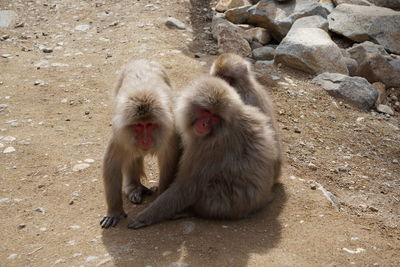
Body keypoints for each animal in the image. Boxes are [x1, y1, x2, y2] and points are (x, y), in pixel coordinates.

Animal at [100, 59, 181, 229]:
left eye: (149, 125)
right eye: (138, 125)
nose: (145, 140)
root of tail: (142, 60)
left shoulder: (169, 134)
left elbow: (168, 161)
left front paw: (161, 197)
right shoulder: (120, 136)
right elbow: (112, 165)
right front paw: (114, 212)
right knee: (132, 155)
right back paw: (134, 187)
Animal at [128, 76, 282, 229]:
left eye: (215, 116)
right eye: (206, 111)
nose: (204, 124)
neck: (220, 128)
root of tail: (262, 200)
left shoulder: (212, 147)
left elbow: (189, 185)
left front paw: (146, 216)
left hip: (232, 203)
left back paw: (191, 211)